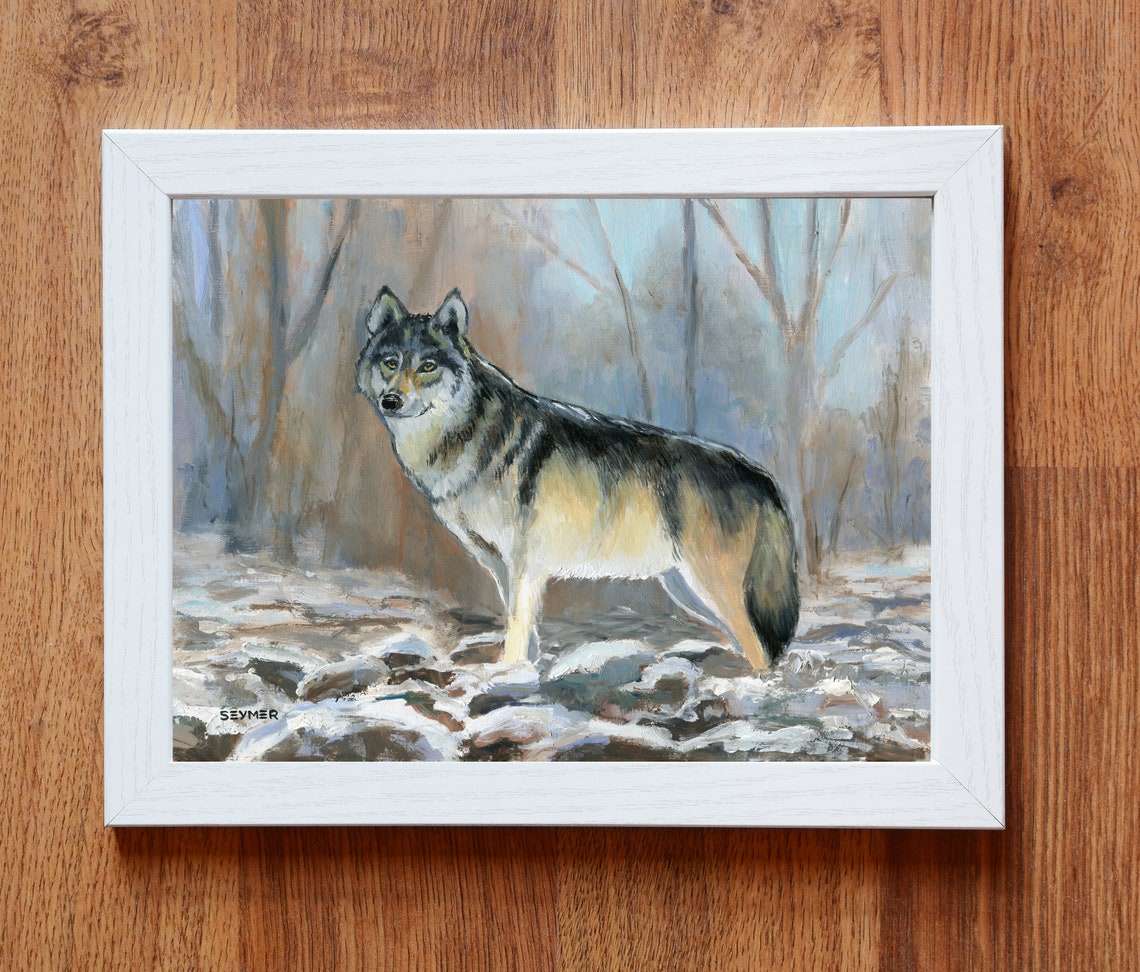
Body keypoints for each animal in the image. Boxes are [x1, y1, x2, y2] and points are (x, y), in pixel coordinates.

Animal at [356, 287, 799, 671]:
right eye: (391, 362)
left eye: (427, 366)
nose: (391, 401)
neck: (467, 438)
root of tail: (762, 478)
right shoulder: (502, 567)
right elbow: (525, 630)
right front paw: (524, 673)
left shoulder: (525, 564)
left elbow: (516, 627)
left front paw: (505, 674)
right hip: (687, 589)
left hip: (710, 587)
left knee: (763, 651)